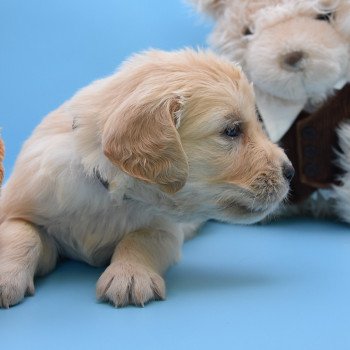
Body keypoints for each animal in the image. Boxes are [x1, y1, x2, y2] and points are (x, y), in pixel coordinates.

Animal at [0, 48, 294, 306]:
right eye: (232, 131)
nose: (290, 171)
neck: (108, 192)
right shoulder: (20, 204)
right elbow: (21, 233)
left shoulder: (165, 230)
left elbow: (140, 240)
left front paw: (129, 276)